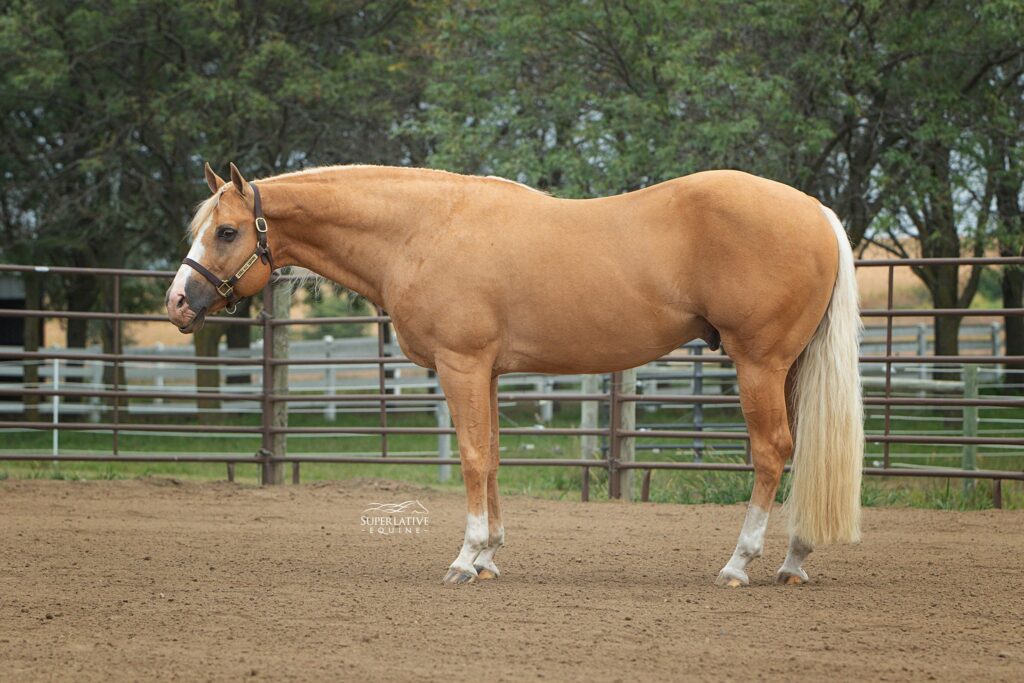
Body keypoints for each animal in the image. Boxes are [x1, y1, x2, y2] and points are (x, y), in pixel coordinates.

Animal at [165, 161, 864, 589]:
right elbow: (495, 455)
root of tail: (815, 211)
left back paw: (739, 564)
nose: (176, 303)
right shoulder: (490, 373)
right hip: (788, 368)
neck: (423, 229)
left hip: (758, 364)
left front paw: (465, 557)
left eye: (226, 231)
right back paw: (795, 558)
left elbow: (473, 458)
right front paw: (490, 558)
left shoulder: (462, 365)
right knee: (801, 452)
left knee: (772, 452)